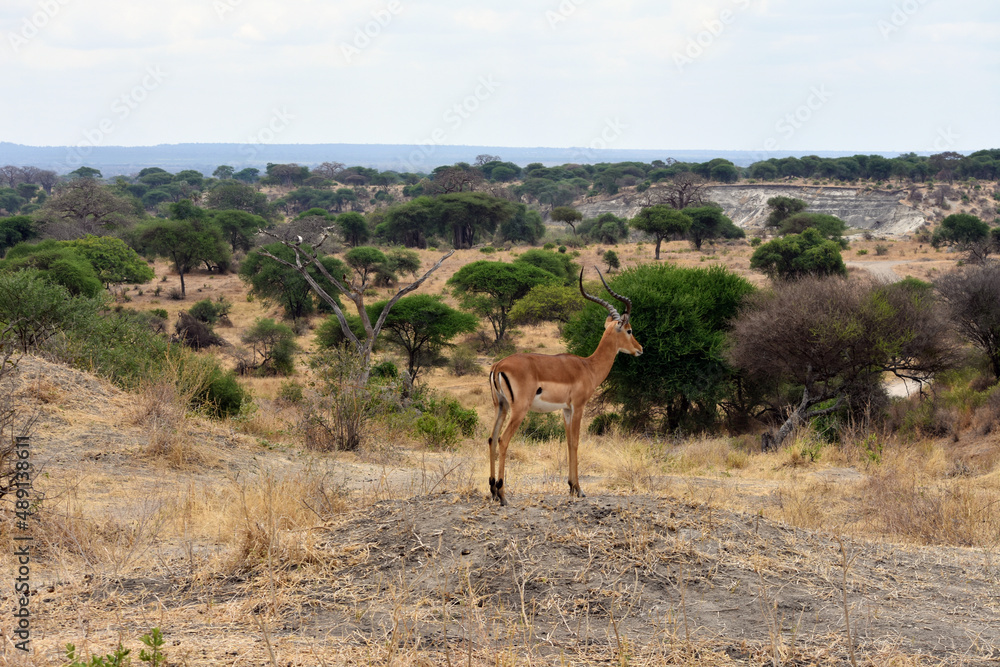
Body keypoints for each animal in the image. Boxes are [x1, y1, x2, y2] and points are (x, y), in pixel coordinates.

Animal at [487, 267, 642, 506]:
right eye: (629, 330)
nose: (640, 349)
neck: (588, 366)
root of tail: (498, 365)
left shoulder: (565, 410)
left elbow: (568, 442)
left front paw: (571, 486)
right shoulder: (578, 407)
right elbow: (576, 442)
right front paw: (578, 489)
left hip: (501, 407)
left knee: (492, 439)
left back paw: (493, 491)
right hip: (518, 410)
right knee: (504, 440)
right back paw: (503, 495)